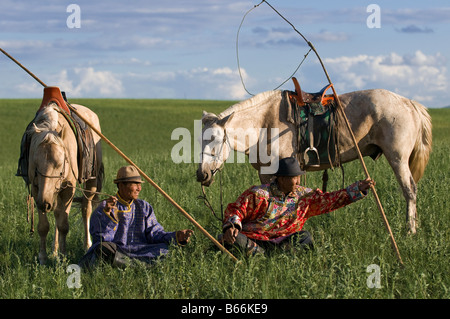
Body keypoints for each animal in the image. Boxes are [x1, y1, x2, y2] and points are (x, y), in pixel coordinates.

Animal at [27, 103, 103, 264]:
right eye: (36, 166)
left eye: (59, 163)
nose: (45, 203)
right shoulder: (38, 191)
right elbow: (44, 226)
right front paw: (43, 257)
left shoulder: (68, 190)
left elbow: (63, 224)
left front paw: (63, 257)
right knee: (57, 212)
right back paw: (54, 250)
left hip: (91, 183)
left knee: (85, 209)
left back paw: (87, 246)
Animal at [196, 89, 432, 234]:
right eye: (200, 139)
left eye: (215, 138)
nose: (202, 174)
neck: (264, 123)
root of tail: (409, 103)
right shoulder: (268, 173)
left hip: (398, 158)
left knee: (410, 190)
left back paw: (410, 230)